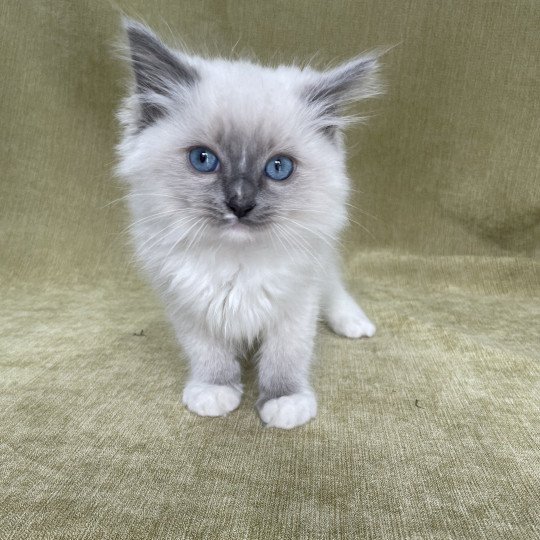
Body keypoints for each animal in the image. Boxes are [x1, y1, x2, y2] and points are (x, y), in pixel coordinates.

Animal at [117, 19, 380, 428]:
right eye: (203, 159)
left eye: (279, 168)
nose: (240, 203)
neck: (235, 262)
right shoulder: (188, 306)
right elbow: (209, 355)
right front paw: (215, 392)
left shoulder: (295, 304)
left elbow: (286, 358)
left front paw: (285, 403)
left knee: (334, 287)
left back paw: (354, 324)